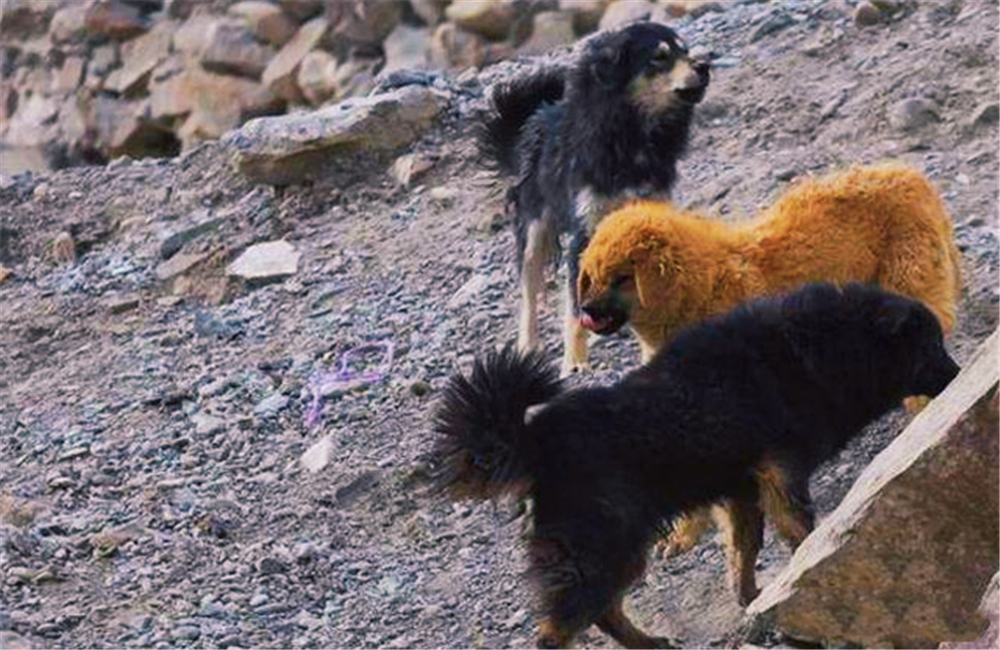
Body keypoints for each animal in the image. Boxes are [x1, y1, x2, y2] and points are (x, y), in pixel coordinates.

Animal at [432, 284, 960, 648]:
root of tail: (534, 439)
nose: (958, 375)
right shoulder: (780, 472)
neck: (815, 349)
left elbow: (743, 550)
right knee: (562, 625)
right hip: (605, 548)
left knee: (604, 611)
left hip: (616, 550)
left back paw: (648, 643)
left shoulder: (744, 490)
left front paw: (752, 599)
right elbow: (798, 531)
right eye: (932, 346)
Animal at [478, 21, 708, 374]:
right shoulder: (584, 233)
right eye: (659, 57)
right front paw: (574, 363)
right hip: (533, 231)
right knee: (528, 294)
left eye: (685, 50)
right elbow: (573, 308)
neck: (631, 138)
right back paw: (528, 346)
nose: (705, 65)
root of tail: (536, 117)